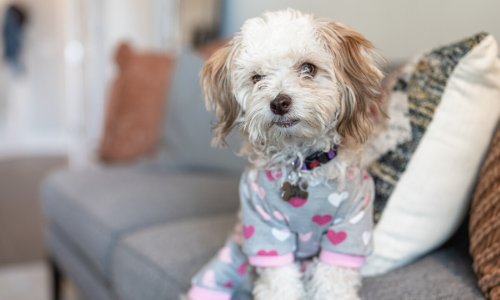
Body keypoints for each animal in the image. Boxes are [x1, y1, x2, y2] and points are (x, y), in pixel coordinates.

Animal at [184, 9, 382, 300]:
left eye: (308, 68)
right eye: (257, 78)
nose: (278, 103)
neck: (301, 164)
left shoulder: (351, 227)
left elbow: (332, 284)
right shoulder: (264, 229)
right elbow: (280, 283)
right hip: (228, 263)